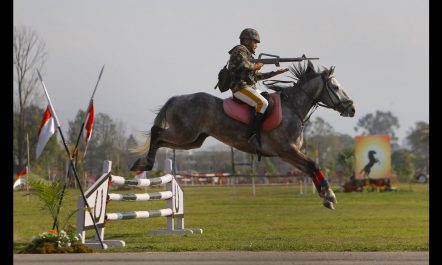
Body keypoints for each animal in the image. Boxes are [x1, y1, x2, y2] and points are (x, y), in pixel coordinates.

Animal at [131, 59, 356, 208]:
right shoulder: (287, 150)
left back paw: (142, 164)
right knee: (157, 132)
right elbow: (314, 165)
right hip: (184, 134)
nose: (351, 108)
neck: (292, 107)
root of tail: (176, 98)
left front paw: (326, 197)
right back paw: (145, 164)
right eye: (335, 87)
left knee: (161, 140)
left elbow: (310, 169)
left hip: (192, 141)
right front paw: (330, 195)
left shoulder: (287, 154)